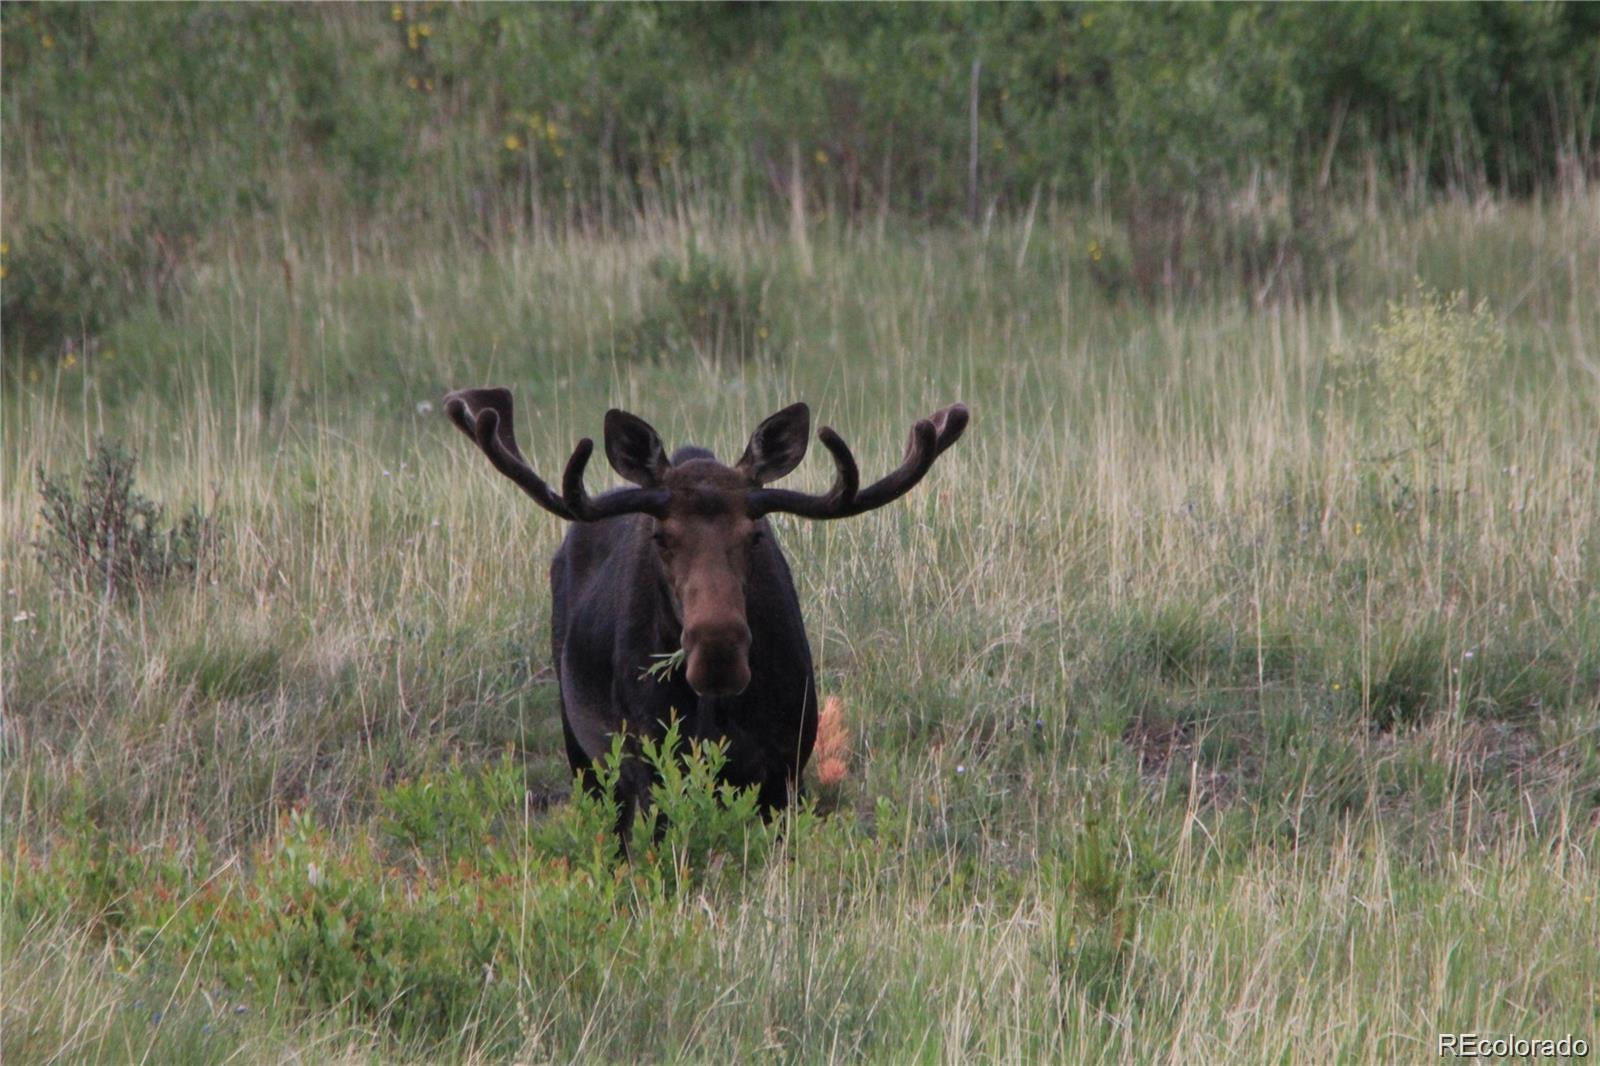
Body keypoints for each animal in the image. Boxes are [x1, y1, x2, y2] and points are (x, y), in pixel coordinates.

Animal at [444, 384, 966, 832]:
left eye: (755, 535)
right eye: (660, 536)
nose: (718, 654)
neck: (716, 714)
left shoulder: (785, 768)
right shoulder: (651, 761)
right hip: (582, 751)